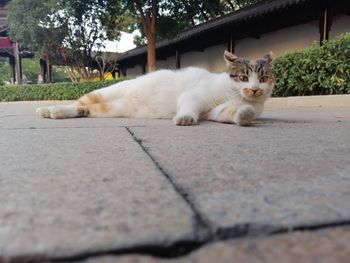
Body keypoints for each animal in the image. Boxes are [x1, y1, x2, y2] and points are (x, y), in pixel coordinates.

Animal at [37, 51, 274, 127]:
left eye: (263, 78)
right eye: (244, 77)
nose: (254, 89)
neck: (236, 95)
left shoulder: (215, 112)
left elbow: (230, 113)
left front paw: (245, 114)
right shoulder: (196, 96)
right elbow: (189, 105)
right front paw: (185, 118)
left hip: (108, 109)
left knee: (83, 110)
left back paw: (55, 113)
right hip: (103, 92)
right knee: (78, 102)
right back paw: (47, 110)